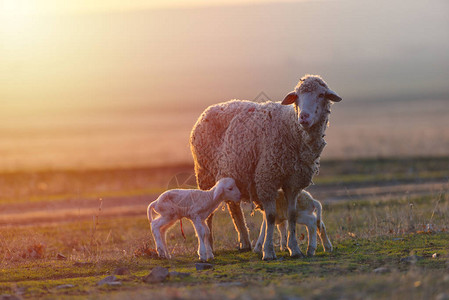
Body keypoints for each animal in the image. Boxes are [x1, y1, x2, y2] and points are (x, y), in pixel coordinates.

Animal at [188, 75, 340, 260]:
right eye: (297, 96)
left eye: (321, 95)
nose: (303, 117)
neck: (291, 128)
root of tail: (209, 109)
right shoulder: (268, 177)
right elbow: (271, 216)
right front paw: (268, 252)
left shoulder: (293, 182)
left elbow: (292, 214)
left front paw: (294, 249)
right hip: (204, 174)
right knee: (209, 213)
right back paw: (209, 247)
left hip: (231, 174)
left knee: (234, 208)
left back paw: (245, 243)